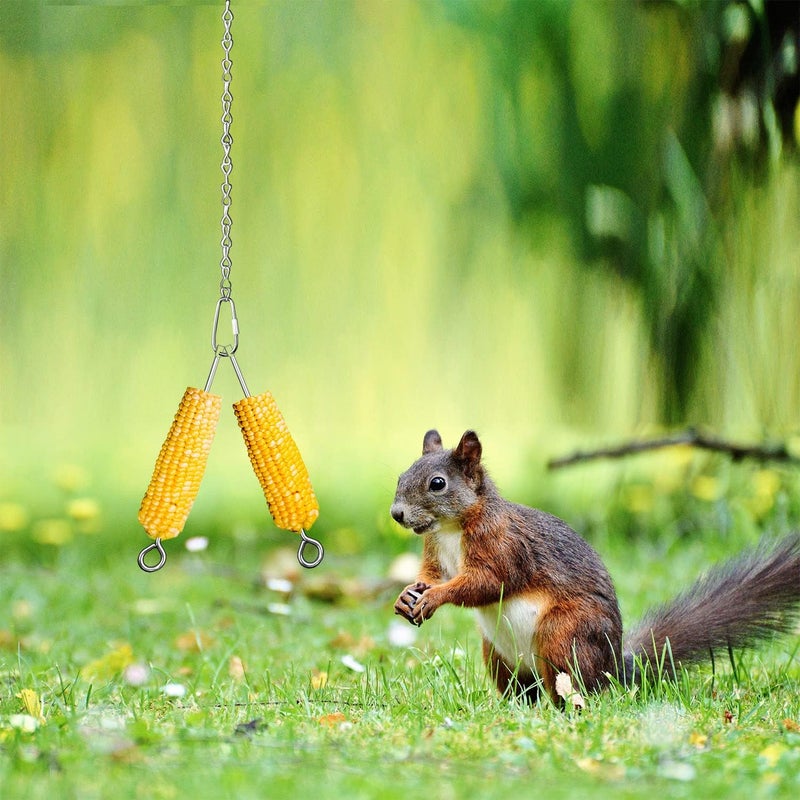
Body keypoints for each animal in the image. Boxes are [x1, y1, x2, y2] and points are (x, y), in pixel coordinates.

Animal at [391, 429, 800, 704]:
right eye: (401, 476)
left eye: (437, 484)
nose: (396, 514)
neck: (450, 529)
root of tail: (613, 668)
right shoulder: (435, 552)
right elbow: (431, 575)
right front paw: (407, 595)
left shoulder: (504, 547)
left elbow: (485, 583)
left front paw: (435, 597)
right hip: (498, 655)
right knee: (524, 690)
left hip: (563, 635)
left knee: (569, 687)